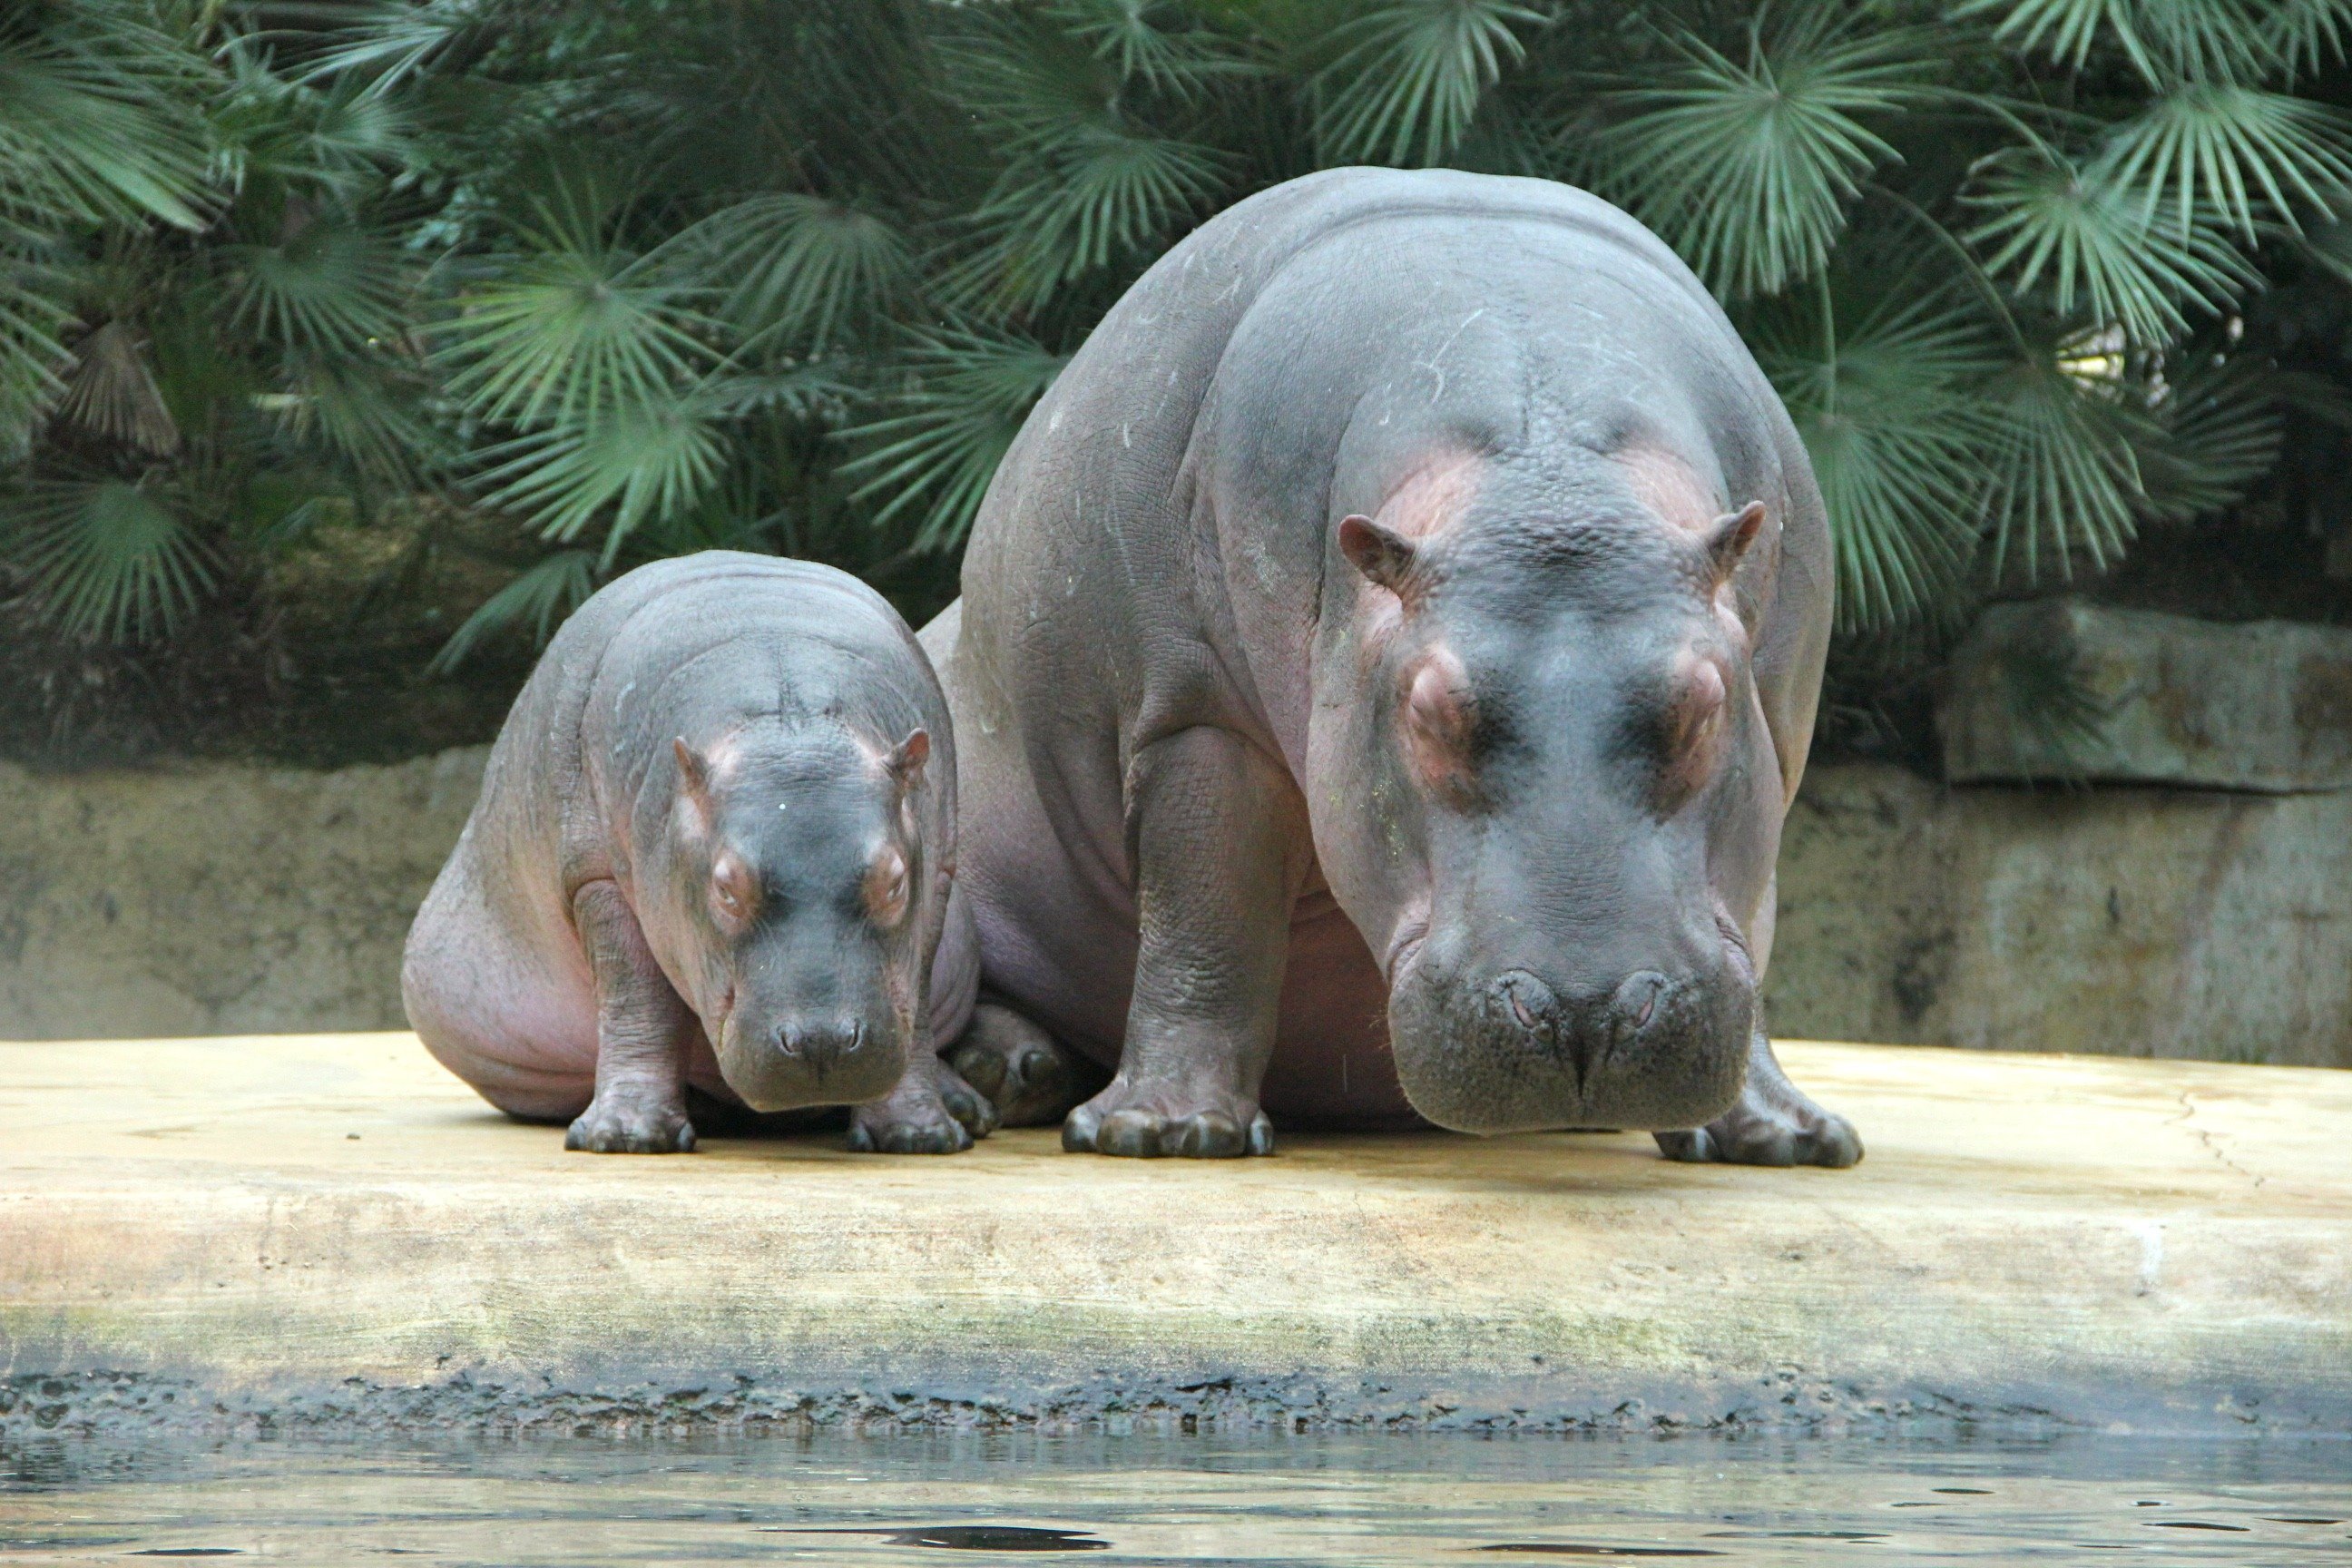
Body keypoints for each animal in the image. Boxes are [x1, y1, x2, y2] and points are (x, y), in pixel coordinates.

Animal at [404, 552, 992, 1152]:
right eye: (726, 889)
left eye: (895, 883)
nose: (821, 1043)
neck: (788, 714)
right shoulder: (596, 881)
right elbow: (637, 1000)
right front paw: (624, 1137)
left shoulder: (938, 876)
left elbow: (914, 997)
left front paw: (920, 1134)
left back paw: (967, 1105)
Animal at [926, 169, 1862, 1165]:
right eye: (1429, 712)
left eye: (1702, 706)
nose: (1587, 1012)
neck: (1546, 468)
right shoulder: (1195, 716)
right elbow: (1207, 915)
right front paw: (1163, 1131)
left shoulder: (1779, 731)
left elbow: (1753, 922)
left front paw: (1787, 1139)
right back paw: (1007, 1069)